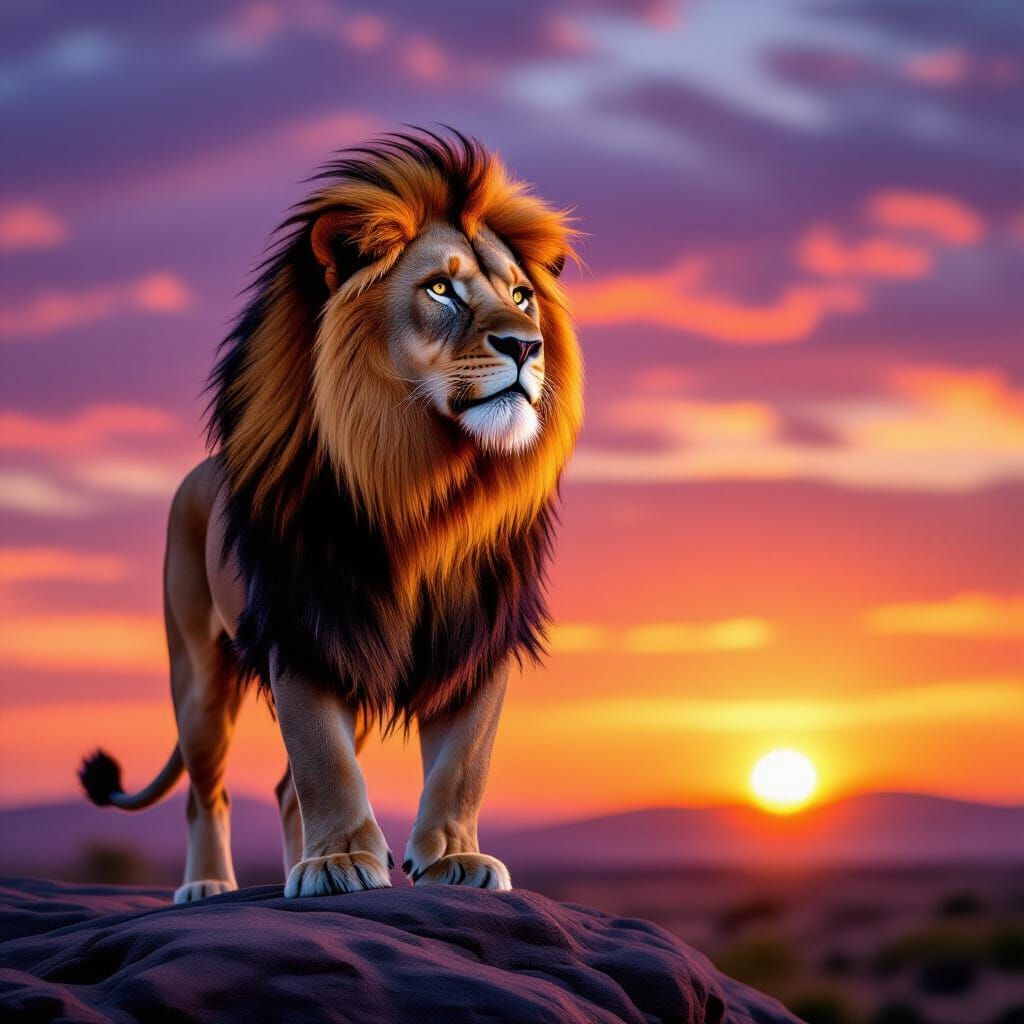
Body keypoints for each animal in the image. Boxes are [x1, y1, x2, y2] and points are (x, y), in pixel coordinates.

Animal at [78, 129, 583, 903]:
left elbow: (464, 763)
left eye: (522, 296)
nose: (528, 345)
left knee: (284, 792)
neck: (425, 488)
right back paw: (210, 884)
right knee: (207, 790)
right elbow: (323, 760)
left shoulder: (474, 637)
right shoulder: (308, 626)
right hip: (198, 676)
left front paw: (454, 857)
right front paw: (342, 860)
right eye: (441, 288)